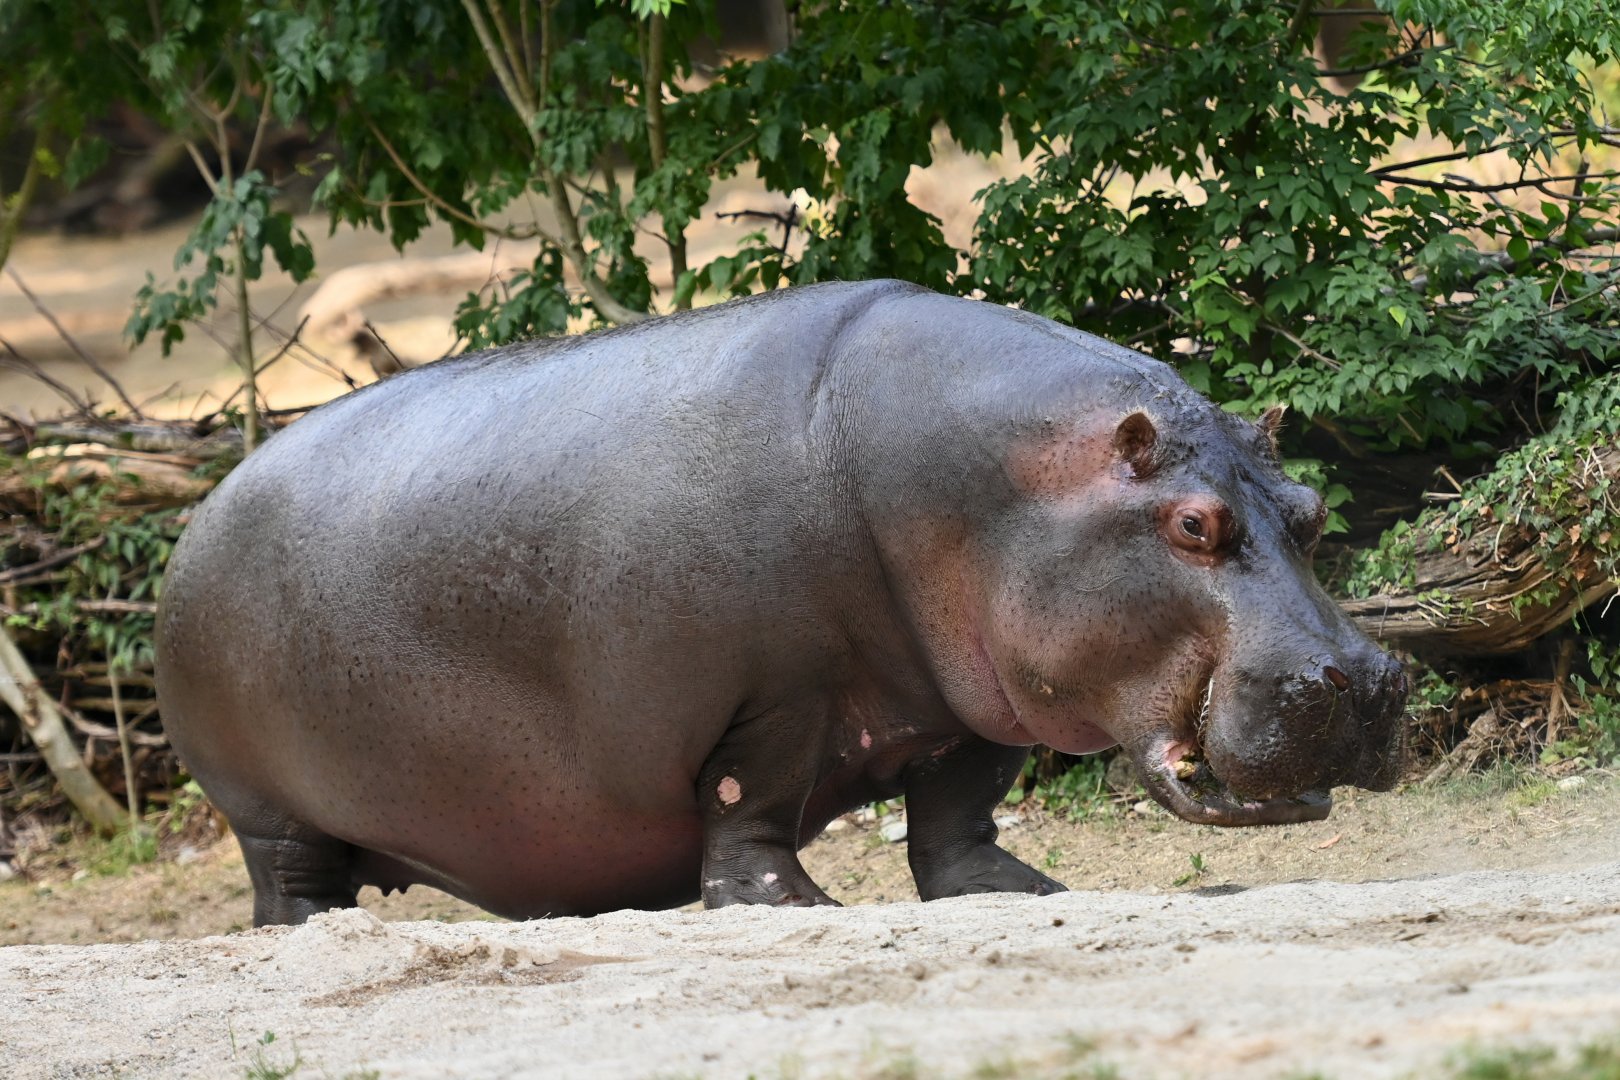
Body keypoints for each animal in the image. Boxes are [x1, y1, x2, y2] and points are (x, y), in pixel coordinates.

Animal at [155, 280, 1407, 926]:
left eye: (1309, 509)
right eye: (1193, 525)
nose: (1364, 679)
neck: (998, 485)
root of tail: (197, 517)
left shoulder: (973, 692)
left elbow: (960, 808)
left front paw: (1019, 889)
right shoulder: (774, 695)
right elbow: (747, 801)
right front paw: (791, 907)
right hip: (266, 810)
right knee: (288, 889)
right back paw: (327, 931)